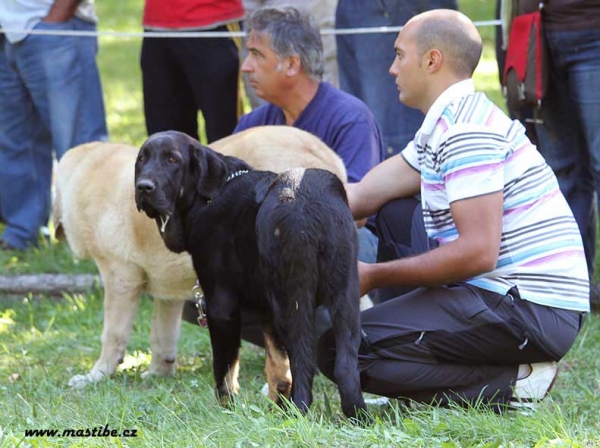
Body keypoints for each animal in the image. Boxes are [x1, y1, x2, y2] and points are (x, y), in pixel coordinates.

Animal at [135, 130, 368, 420]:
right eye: (141, 159)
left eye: (172, 159)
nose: (143, 187)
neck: (208, 196)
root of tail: (310, 202)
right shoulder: (267, 311)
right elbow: (278, 367)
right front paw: (276, 404)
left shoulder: (221, 305)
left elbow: (224, 368)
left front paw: (227, 409)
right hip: (344, 298)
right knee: (345, 365)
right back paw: (356, 415)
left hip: (294, 302)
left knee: (304, 362)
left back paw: (299, 412)